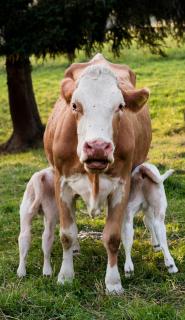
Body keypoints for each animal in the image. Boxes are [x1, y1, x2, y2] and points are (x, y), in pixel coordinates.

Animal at [43, 53, 152, 292]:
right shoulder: (62, 183)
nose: (98, 147)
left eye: (120, 106)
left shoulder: (121, 186)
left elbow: (112, 237)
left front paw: (113, 281)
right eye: (75, 105)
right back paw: (75, 249)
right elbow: (67, 234)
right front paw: (65, 276)